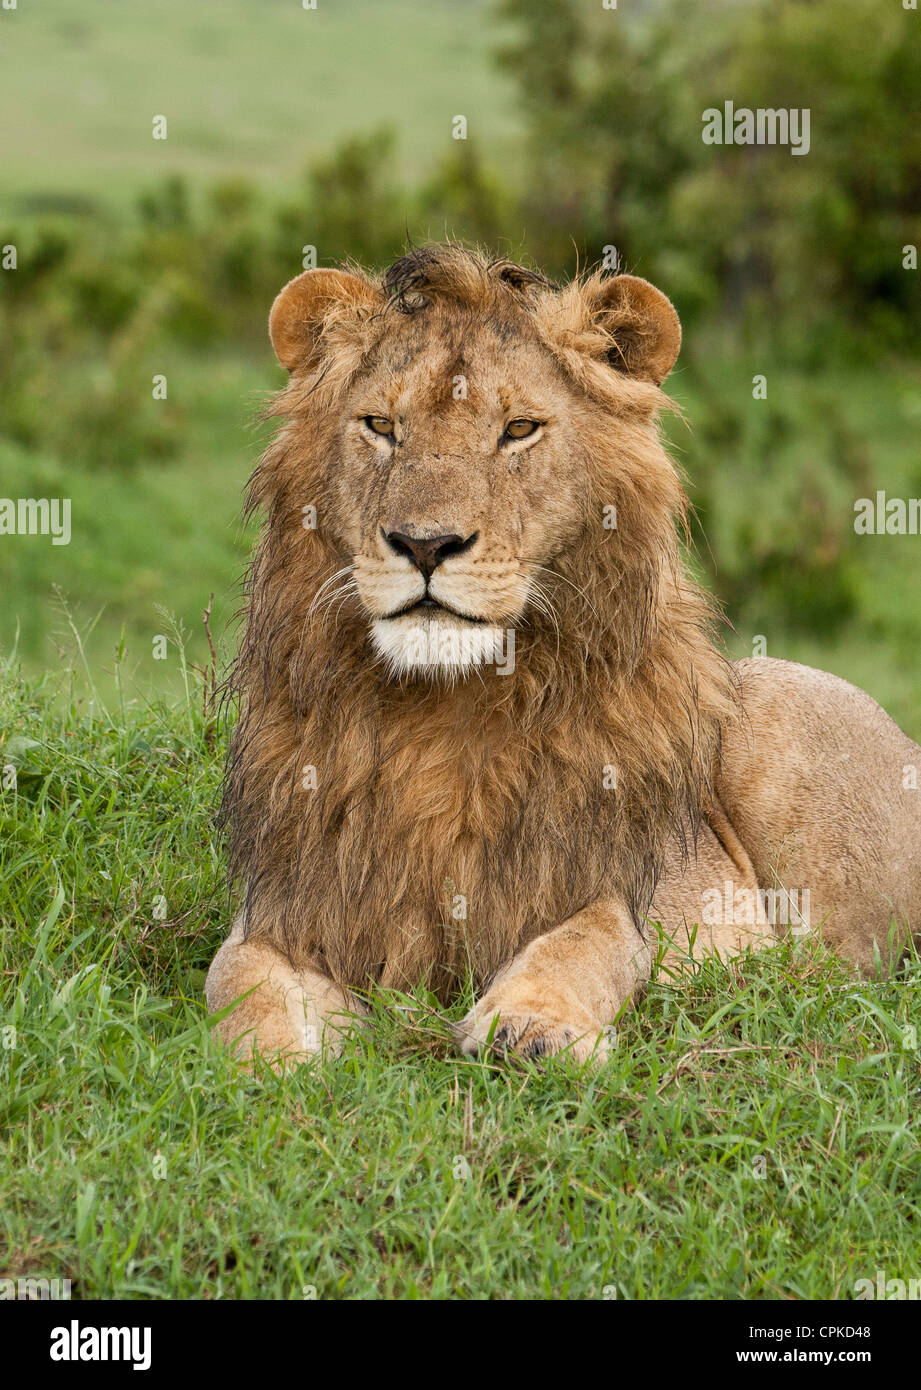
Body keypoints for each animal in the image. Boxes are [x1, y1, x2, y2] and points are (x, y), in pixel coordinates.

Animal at [205, 243, 921, 1068]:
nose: (425, 544)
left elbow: (583, 943)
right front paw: (273, 1065)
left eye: (518, 429)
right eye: (380, 426)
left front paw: (531, 1027)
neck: (439, 714)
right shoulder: (288, 905)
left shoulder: (612, 886)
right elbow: (241, 986)